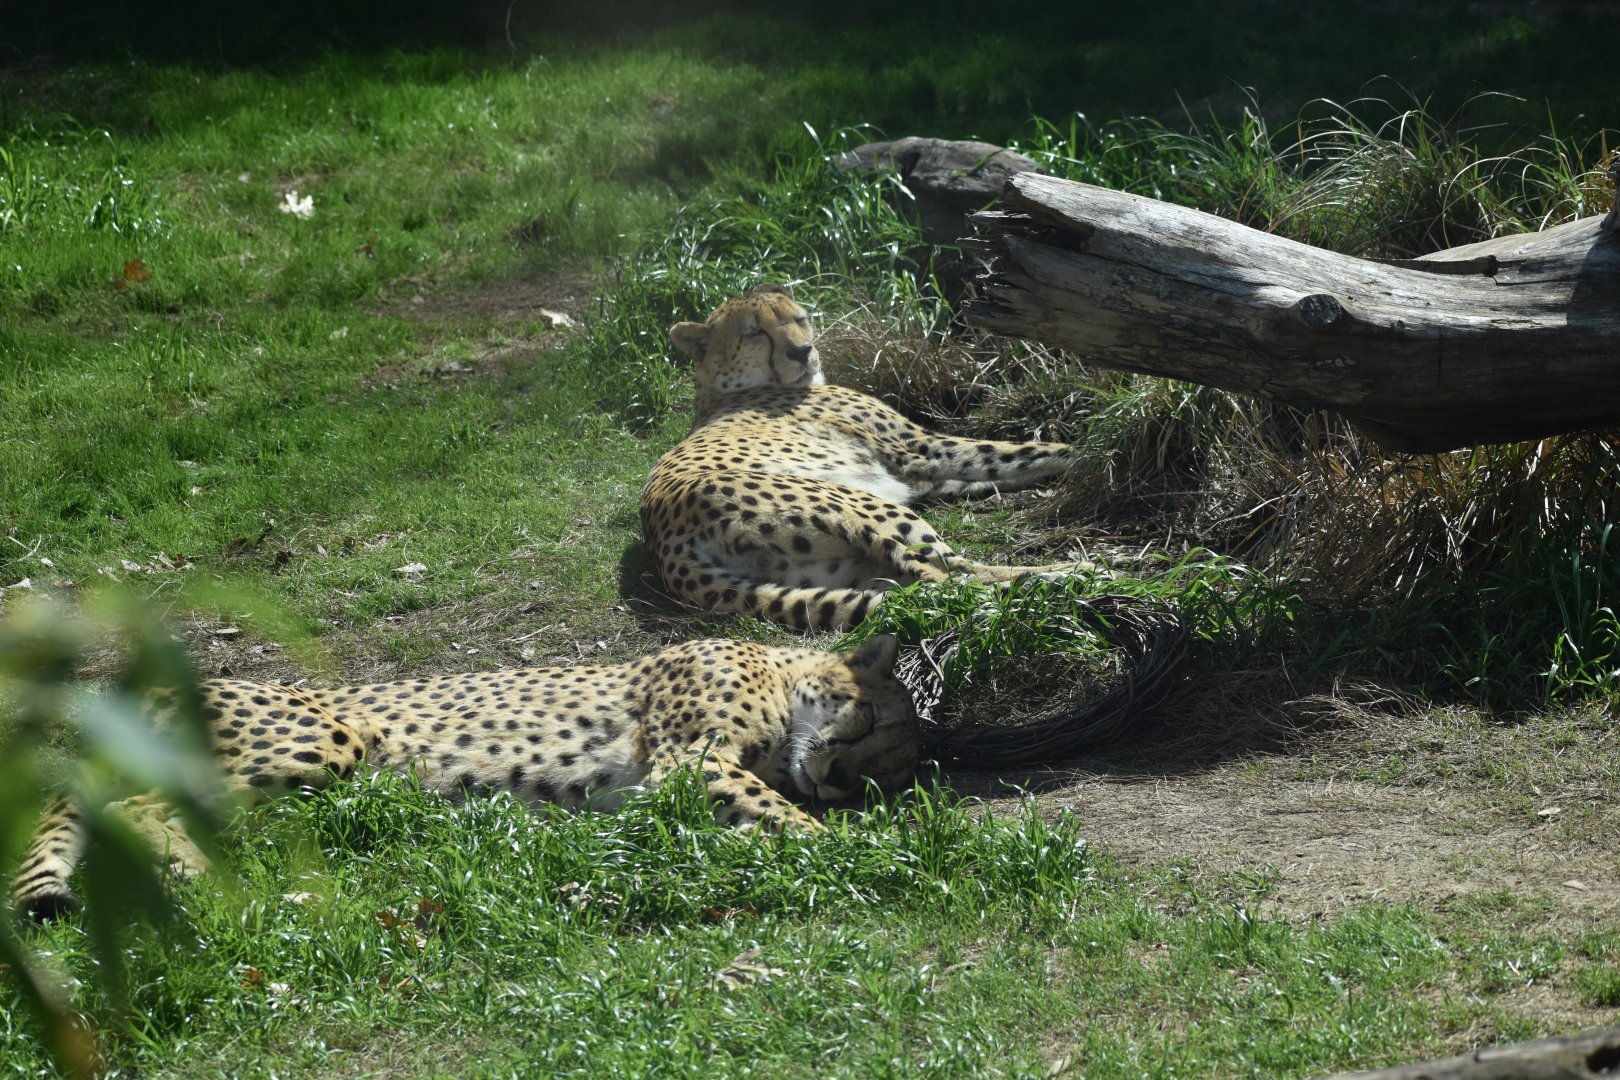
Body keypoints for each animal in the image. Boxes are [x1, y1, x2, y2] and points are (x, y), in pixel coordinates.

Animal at [10, 634, 917, 920]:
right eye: (873, 724)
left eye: (888, 776)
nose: (843, 779)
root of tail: (157, 685)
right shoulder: (691, 763)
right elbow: (789, 821)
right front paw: (868, 857)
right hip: (327, 743)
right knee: (135, 806)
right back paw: (197, 877)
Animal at [640, 284, 1097, 631]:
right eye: (755, 333)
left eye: (799, 319)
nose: (803, 351)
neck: (726, 391)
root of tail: (667, 543)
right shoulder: (922, 449)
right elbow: (1017, 451)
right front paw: (1093, 452)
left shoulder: (914, 471)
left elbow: (996, 468)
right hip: (862, 508)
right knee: (951, 574)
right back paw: (1070, 577)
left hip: (834, 567)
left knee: (923, 580)